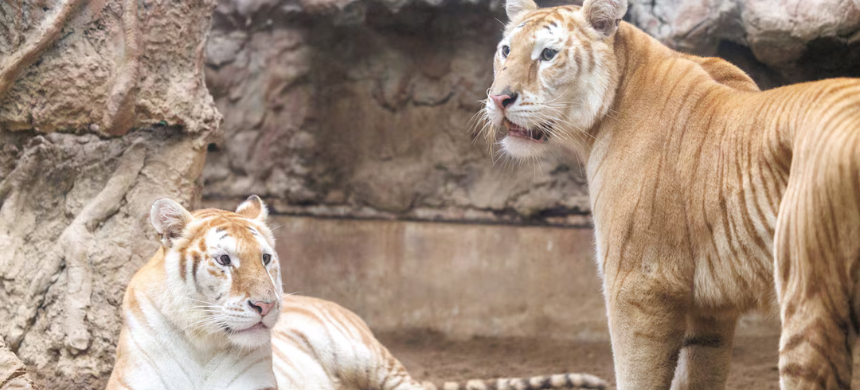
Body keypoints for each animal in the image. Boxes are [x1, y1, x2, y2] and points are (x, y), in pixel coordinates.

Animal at [480, 0, 860, 390]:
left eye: (548, 54)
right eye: (506, 50)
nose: (499, 98)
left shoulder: (638, 283)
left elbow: (636, 373)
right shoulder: (708, 310)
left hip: (813, 300)